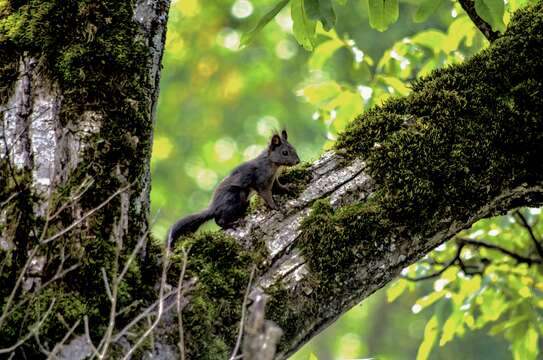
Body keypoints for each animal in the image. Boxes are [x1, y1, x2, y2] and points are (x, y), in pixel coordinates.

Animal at [168, 130, 300, 248]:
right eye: (284, 152)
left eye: (293, 148)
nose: (298, 161)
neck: (271, 163)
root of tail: (214, 207)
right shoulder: (262, 180)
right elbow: (266, 195)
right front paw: (276, 207)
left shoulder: (273, 180)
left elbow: (278, 187)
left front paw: (288, 187)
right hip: (235, 198)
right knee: (219, 220)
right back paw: (233, 223)